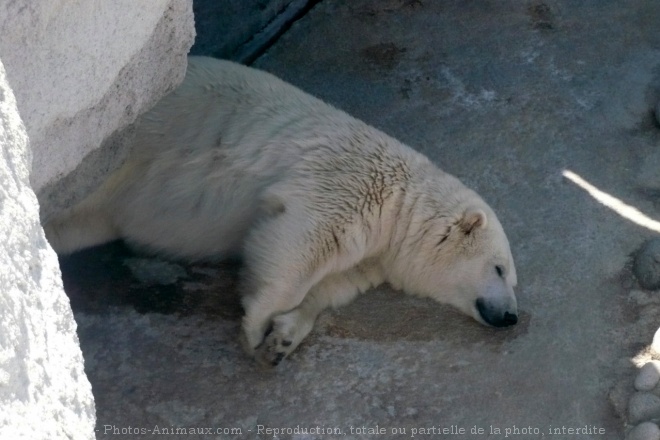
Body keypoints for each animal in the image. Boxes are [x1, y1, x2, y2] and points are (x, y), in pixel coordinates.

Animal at [46, 58, 520, 368]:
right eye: (499, 268)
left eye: (512, 278)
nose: (512, 316)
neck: (402, 204)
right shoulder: (347, 186)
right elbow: (300, 243)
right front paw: (256, 329)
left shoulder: (374, 254)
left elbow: (331, 284)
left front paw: (283, 339)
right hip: (127, 148)